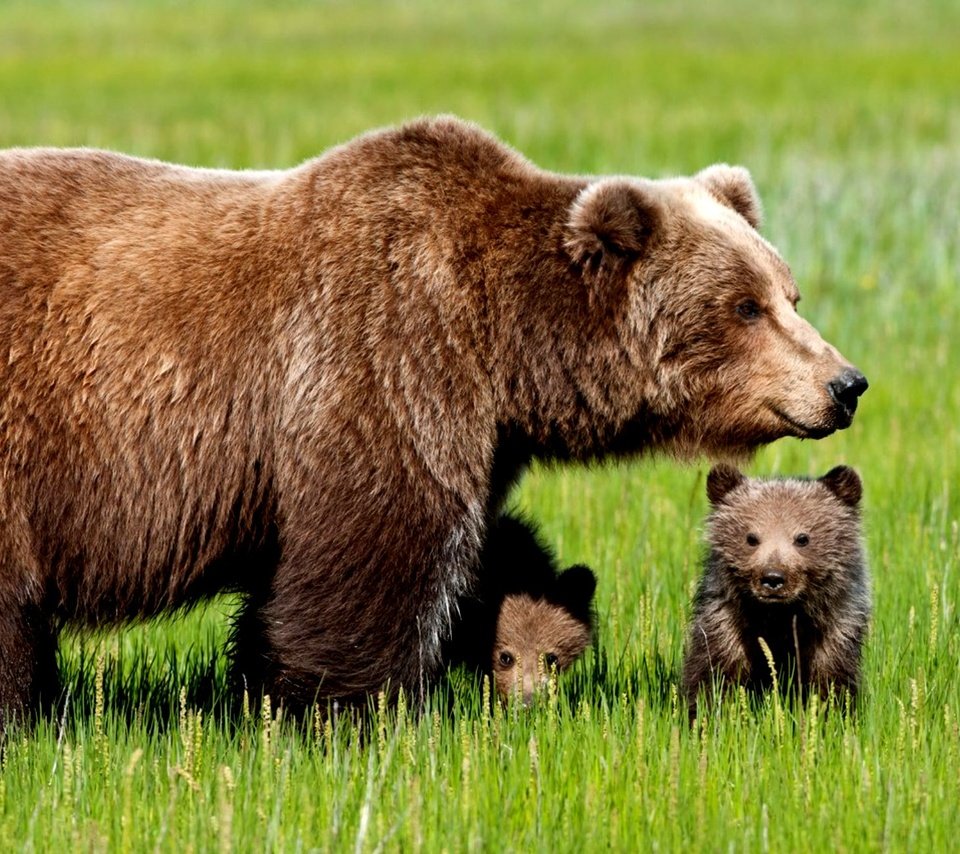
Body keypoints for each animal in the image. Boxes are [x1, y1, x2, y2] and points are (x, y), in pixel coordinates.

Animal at [0, 115, 868, 728]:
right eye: (745, 306)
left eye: (789, 292)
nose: (846, 383)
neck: (503, 344)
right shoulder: (383, 358)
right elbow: (375, 559)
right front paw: (352, 713)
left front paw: (259, 691)